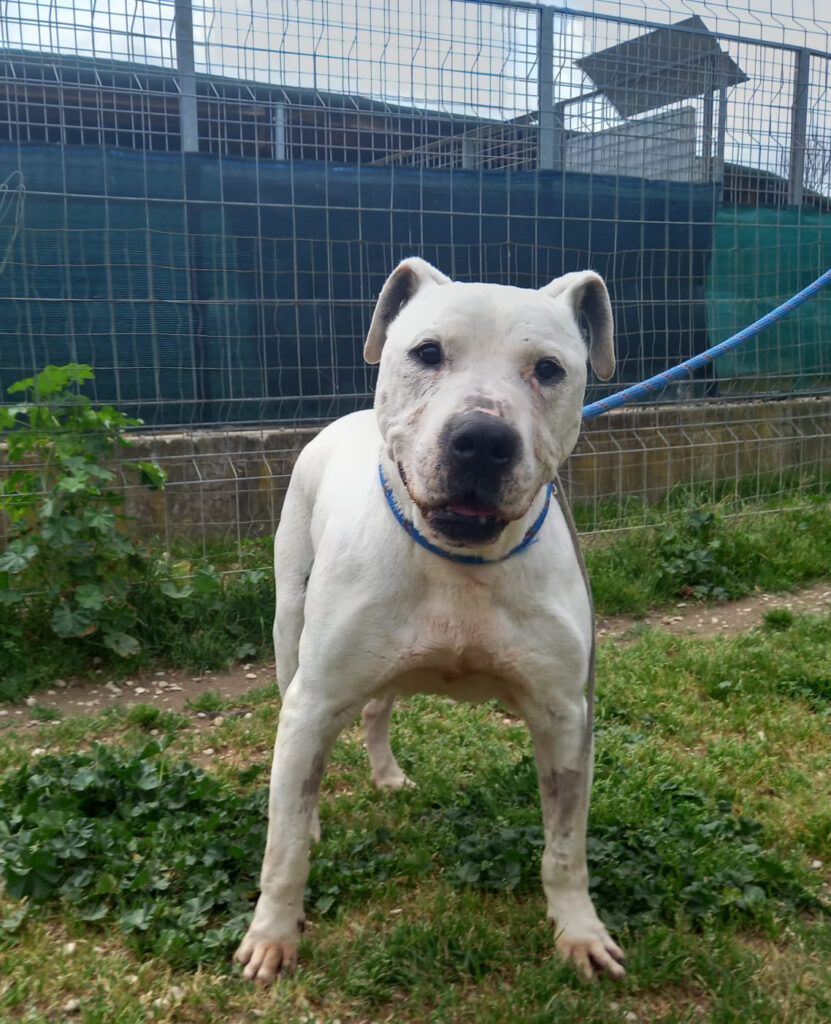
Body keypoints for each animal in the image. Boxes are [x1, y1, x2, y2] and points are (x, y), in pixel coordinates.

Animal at [235, 257, 625, 983]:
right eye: (427, 353)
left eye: (548, 368)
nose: (482, 439)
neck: (461, 563)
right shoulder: (312, 700)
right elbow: (283, 850)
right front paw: (272, 934)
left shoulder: (567, 717)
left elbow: (565, 847)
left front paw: (579, 930)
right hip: (289, 638)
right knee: (299, 782)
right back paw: (311, 816)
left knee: (376, 709)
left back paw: (387, 774)